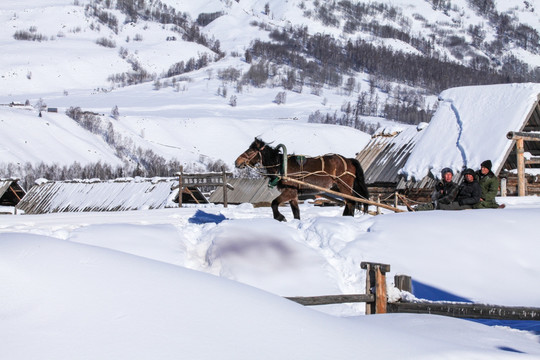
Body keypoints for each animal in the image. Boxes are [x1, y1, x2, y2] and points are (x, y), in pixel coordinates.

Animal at [234, 138, 370, 222]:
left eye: (251, 150)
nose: (237, 162)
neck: (281, 166)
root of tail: (348, 160)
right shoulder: (293, 195)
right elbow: (296, 213)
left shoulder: (289, 192)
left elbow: (274, 203)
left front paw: (280, 217)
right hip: (337, 188)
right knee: (349, 203)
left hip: (344, 186)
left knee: (351, 202)